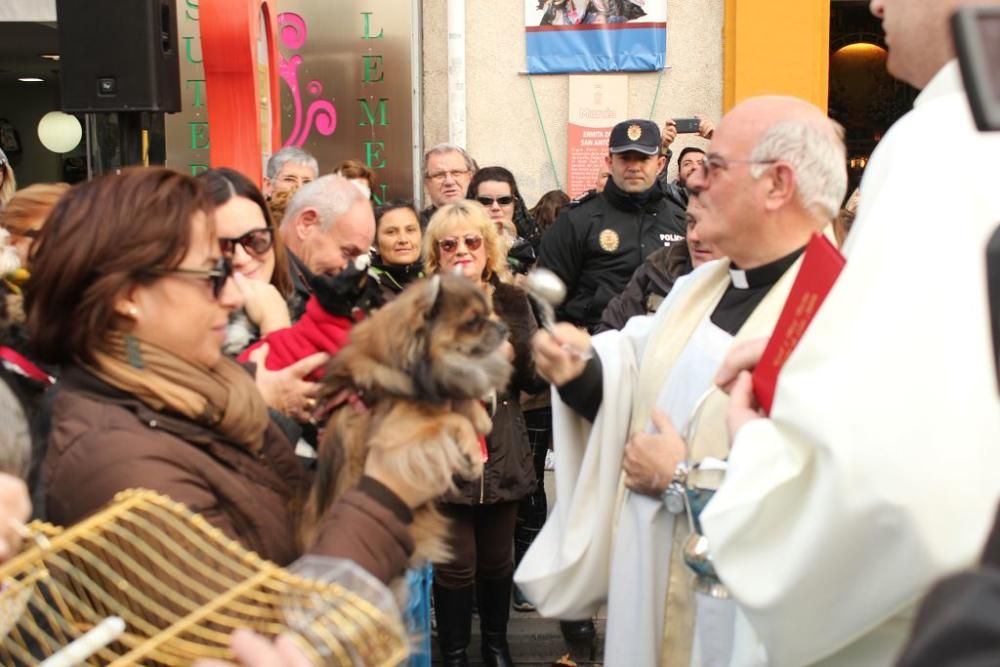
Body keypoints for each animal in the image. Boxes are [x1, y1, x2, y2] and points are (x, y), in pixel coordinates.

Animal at [300, 272, 512, 564]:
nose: (503, 328)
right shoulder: (397, 428)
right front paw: (471, 448)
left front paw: (479, 417)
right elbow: (451, 419)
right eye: (473, 321)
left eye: (490, 314)